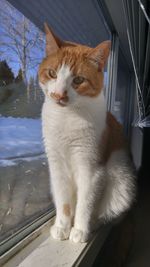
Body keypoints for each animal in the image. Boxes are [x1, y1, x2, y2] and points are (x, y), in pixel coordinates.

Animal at [38, 23, 136, 245]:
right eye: (52, 73)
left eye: (78, 80)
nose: (59, 94)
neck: (67, 117)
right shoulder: (56, 166)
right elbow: (64, 202)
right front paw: (62, 226)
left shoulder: (91, 168)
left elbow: (85, 203)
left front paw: (80, 230)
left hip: (121, 180)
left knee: (107, 212)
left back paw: (94, 224)